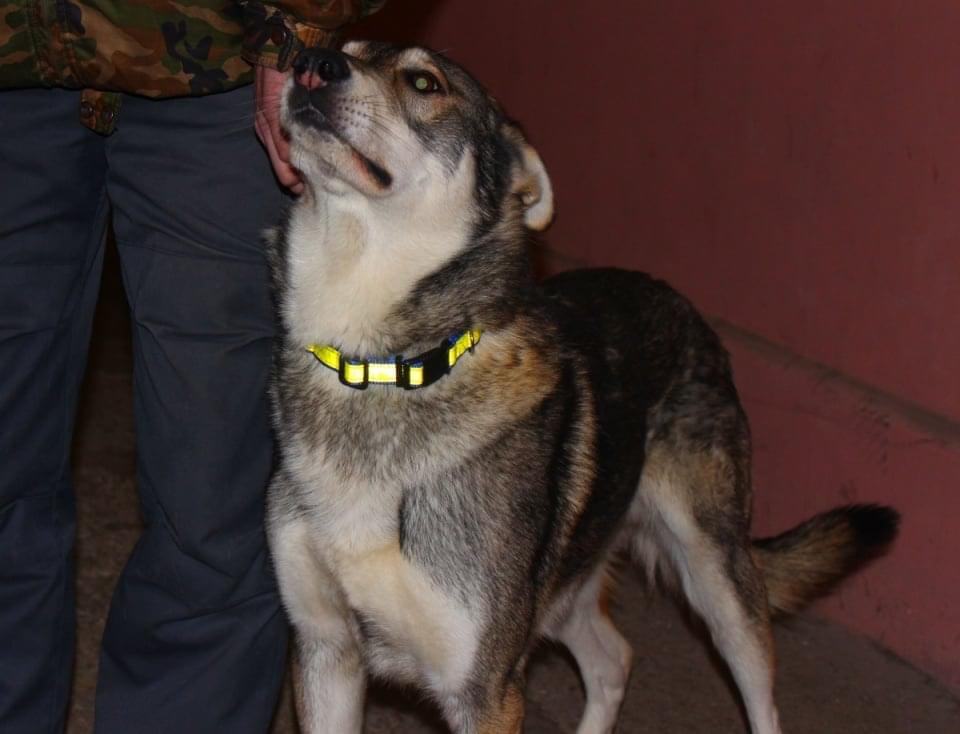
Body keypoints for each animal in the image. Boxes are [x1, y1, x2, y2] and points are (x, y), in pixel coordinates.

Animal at [266, 41, 899, 734]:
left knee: (754, 691)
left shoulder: (484, 688)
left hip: (717, 578)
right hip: (564, 588)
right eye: (341, 50)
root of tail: (677, 300)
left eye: (425, 82)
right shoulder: (325, 652)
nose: (312, 63)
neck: (375, 365)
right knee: (612, 659)